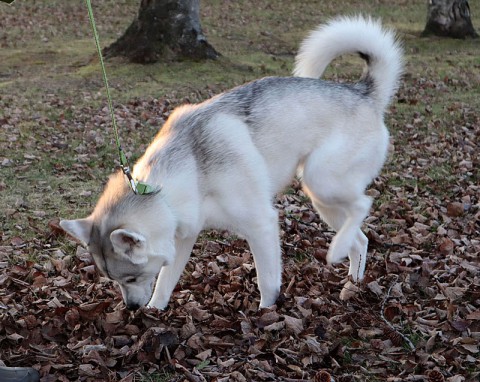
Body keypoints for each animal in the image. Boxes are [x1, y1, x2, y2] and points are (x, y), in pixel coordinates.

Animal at [62, 16, 404, 312]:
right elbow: (164, 283)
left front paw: (265, 316)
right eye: (113, 280)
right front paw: (155, 312)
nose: (131, 308)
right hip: (323, 200)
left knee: (363, 205)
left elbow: (267, 282)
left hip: (321, 181)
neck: (170, 185)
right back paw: (351, 283)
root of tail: (363, 92)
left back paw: (337, 249)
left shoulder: (261, 225)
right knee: (360, 239)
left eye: (131, 277)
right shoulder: (182, 238)